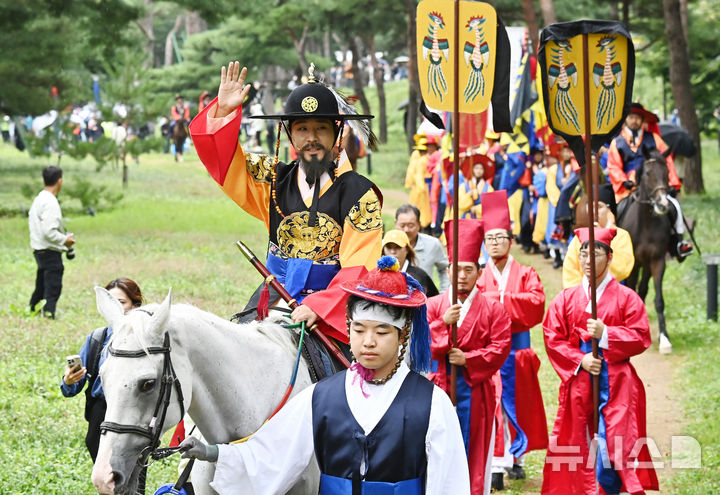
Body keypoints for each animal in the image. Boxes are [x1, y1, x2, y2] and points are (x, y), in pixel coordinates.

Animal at [616, 147, 672, 352]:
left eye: (667, 173)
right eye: (648, 174)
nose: (663, 204)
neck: (646, 224)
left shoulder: (657, 261)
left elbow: (659, 300)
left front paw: (664, 338)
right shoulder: (632, 265)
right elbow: (631, 290)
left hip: (647, 265)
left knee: (643, 289)